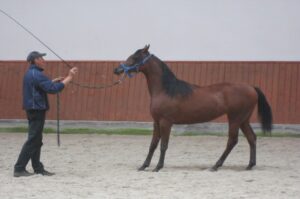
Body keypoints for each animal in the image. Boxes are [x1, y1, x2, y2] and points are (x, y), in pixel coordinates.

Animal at [113, 44, 274, 171]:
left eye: (135, 57)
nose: (117, 70)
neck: (166, 89)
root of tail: (251, 87)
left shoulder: (166, 122)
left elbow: (163, 145)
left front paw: (158, 167)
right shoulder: (156, 122)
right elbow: (152, 144)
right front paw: (144, 165)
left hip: (235, 119)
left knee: (232, 141)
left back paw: (215, 166)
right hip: (243, 120)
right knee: (252, 138)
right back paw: (249, 165)